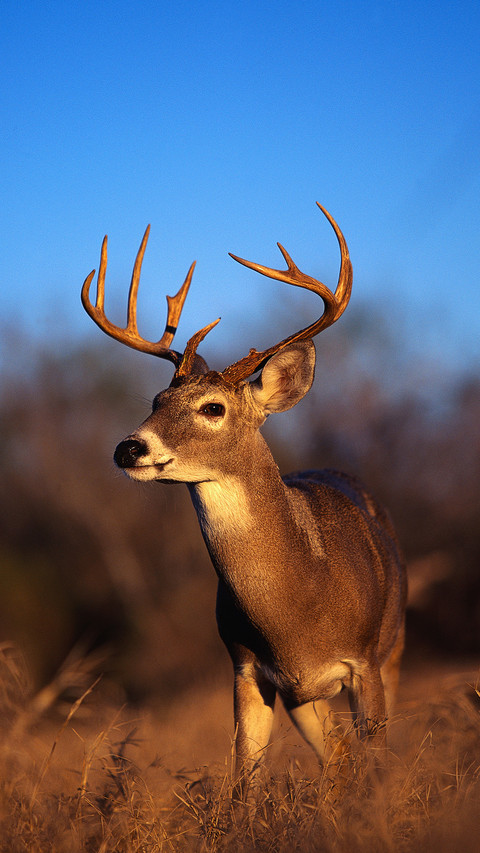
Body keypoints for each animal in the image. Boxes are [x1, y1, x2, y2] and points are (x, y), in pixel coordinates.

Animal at [81, 203, 407, 785]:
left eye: (213, 408)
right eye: (157, 400)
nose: (128, 448)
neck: (299, 607)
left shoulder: (366, 662)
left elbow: (376, 772)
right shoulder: (247, 669)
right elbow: (244, 782)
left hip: (397, 646)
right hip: (303, 699)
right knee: (337, 759)